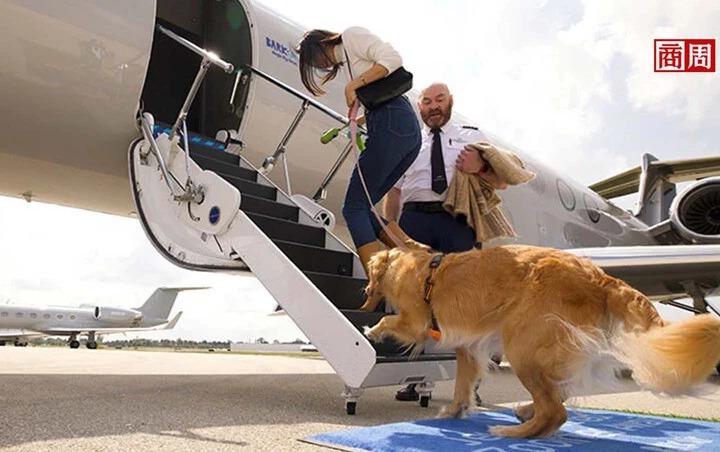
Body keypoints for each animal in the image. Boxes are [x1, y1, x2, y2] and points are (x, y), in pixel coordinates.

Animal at [362, 245, 720, 440]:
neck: (413, 265)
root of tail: (600, 277)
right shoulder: (469, 346)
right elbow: (463, 385)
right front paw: (454, 410)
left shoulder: (415, 322)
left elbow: (392, 322)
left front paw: (372, 330)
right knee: (557, 394)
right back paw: (525, 412)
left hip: (522, 346)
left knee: (555, 411)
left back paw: (513, 432)